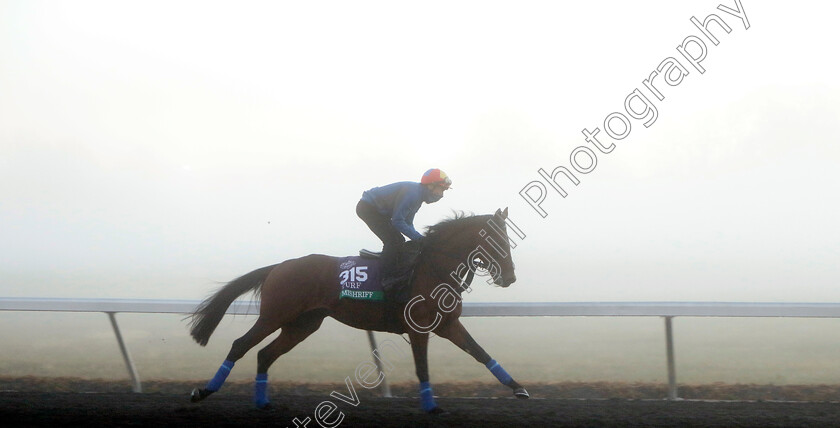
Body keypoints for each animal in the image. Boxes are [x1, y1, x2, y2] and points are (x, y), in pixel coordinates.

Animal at [188, 209, 528, 412]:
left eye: (508, 239)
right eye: (495, 239)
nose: (509, 277)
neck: (433, 269)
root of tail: (280, 266)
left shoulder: (448, 325)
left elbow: (481, 353)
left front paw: (519, 389)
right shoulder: (419, 327)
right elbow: (422, 367)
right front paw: (431, 405)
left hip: (302, 324)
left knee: (264, 354)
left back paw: (261, 402)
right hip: (275, 315)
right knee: (241, 345)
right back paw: (204, 391)